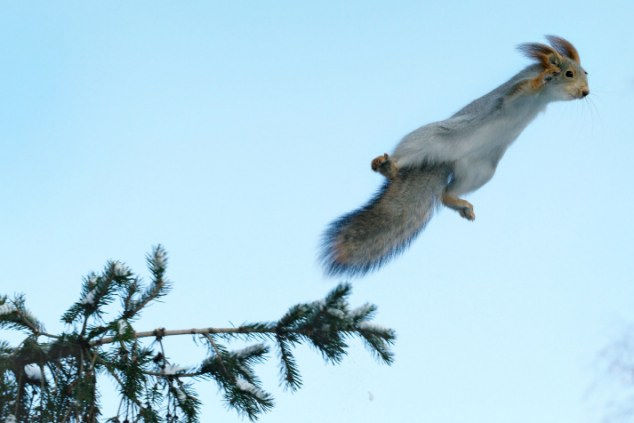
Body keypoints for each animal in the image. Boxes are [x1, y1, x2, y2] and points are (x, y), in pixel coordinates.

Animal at [320, 35, 588, 278]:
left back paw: (459, 203)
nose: (586, 92)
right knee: (405, 157)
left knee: (445, 194)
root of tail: (443, 161)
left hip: (481, 171)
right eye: (569, 74)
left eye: (586, 72)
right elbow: (525, 87)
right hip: (430, 138)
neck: (543, 96)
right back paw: (388, 166)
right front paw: (544, 76)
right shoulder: (514, 92)